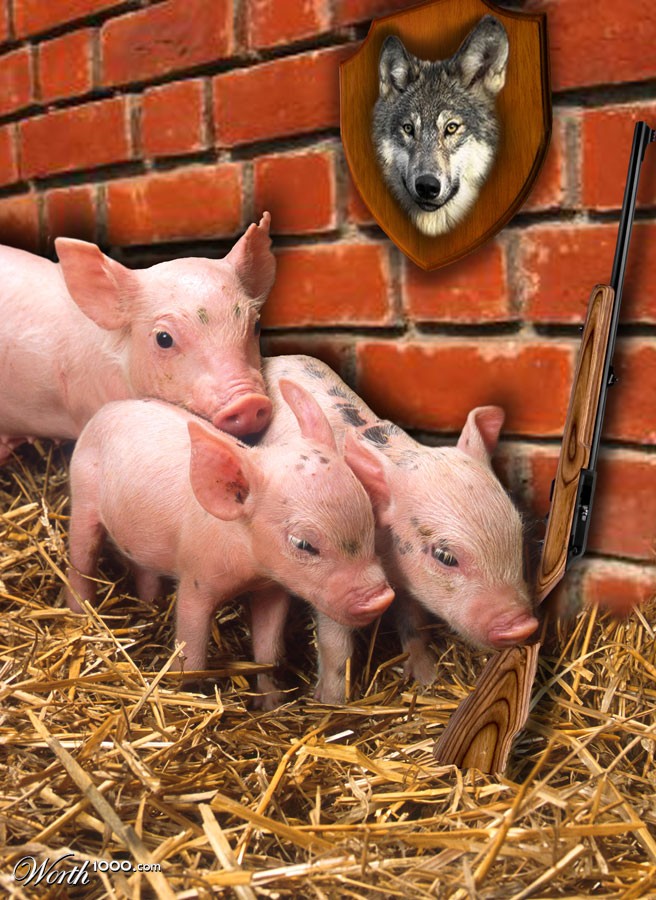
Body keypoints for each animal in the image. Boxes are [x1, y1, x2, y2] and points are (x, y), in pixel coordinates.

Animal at [65, 381, 395, 707]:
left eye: (368, 516)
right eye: (302, 543)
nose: (381, 597)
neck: (248, 569)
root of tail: (108, 409)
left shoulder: (272, 588)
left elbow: (268, 650)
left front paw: (271, 704)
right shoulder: (195, 579)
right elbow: (192, 649)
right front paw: (190, 693)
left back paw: (150, 602)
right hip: (83, 497)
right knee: (80, 561)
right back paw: (80, 612)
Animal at [253, 354, 538, 703]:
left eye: (518, 536)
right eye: (445, 556)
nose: (524, 626)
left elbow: (413, 623)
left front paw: (428, 679)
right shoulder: (335, 579)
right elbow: (336, 643)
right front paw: (331, 702)